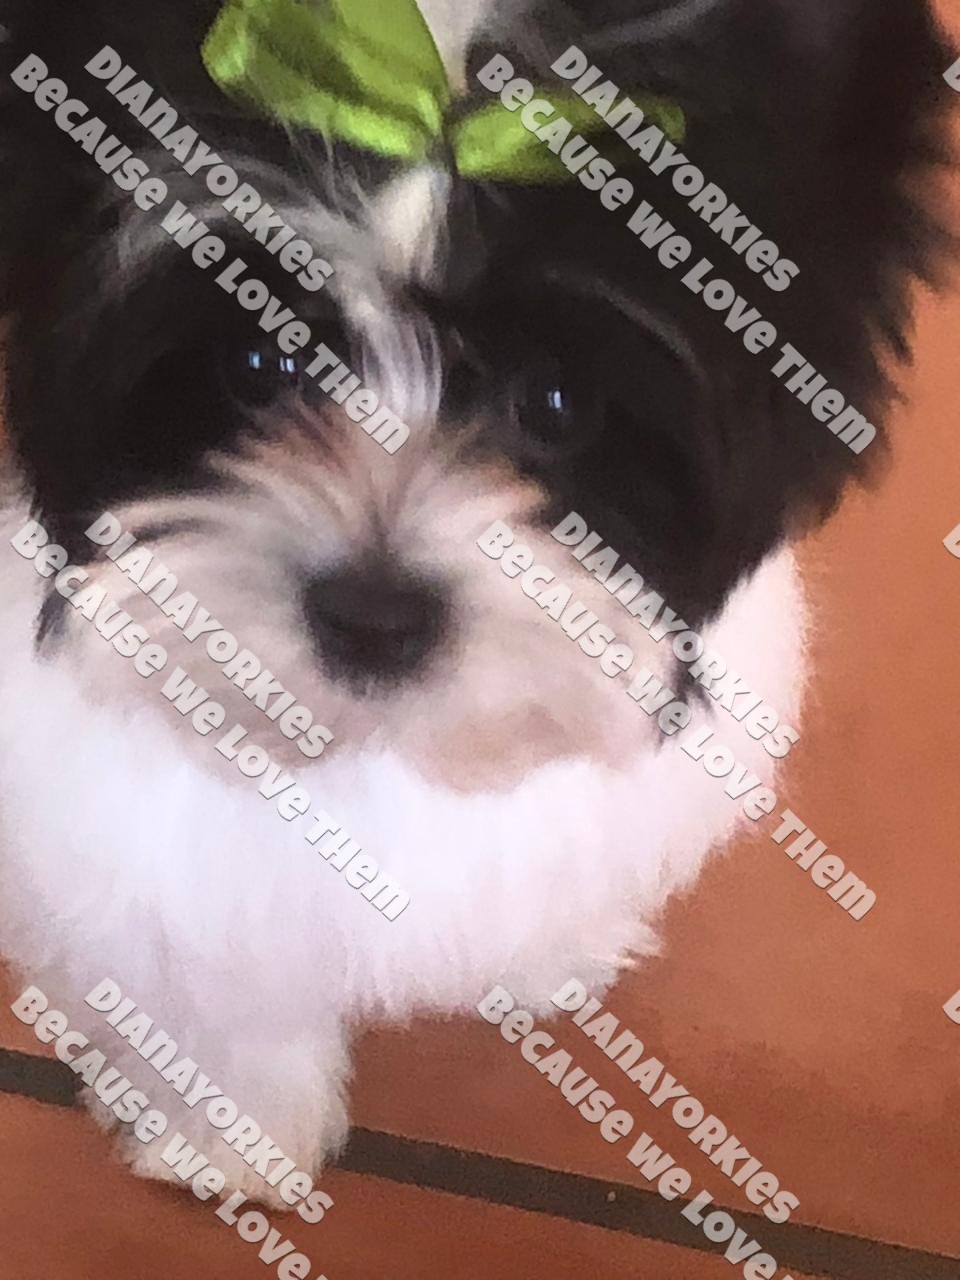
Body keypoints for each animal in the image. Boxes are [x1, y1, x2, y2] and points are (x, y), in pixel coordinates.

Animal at [0, 0, 950, 1202]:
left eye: (554, 403)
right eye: (259, 365)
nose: (375, 618)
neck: (389, 742)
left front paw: (554, 952)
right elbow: (220, 978)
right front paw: (232, 1132)